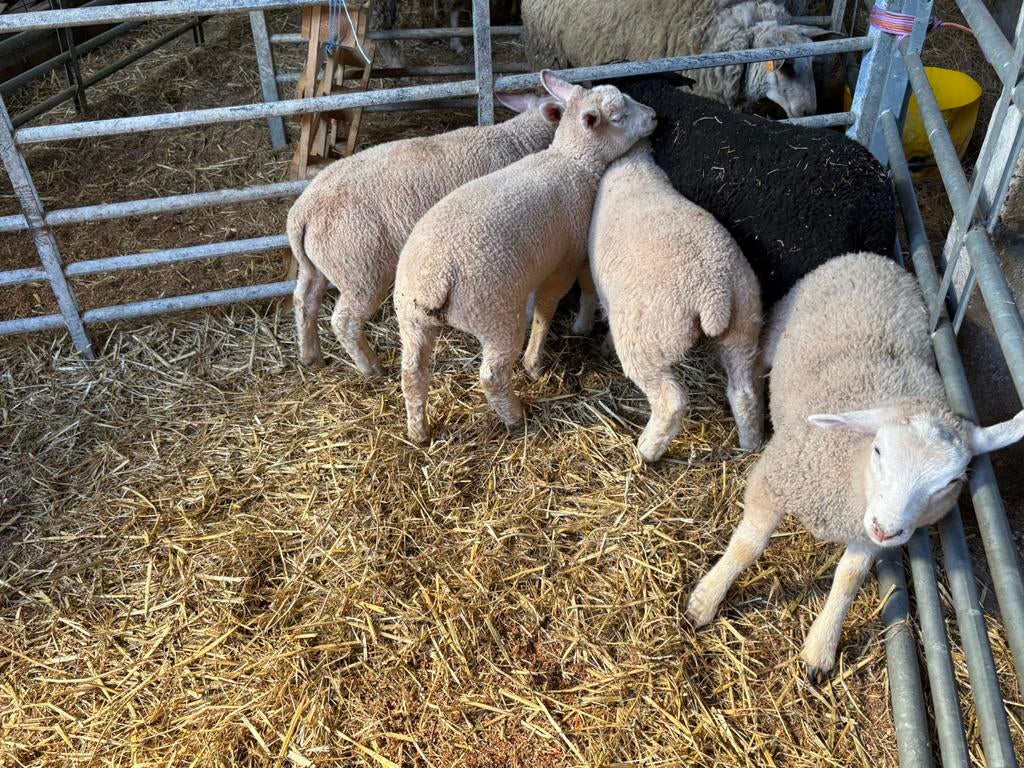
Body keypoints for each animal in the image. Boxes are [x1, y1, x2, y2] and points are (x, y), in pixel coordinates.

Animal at [287, 92, 561, 374]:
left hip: (315, 267)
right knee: (344, 322)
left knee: (304, 301)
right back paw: (371, 367)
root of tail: (302, 213)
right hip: (360, 273)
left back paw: (311, 356)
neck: (517, 141)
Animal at [394, 72, 657, 444]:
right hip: (495, 316)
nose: (654, 116)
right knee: (492, 376)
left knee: (411, 373)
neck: (572, 161)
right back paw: (515, 416)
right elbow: (549, 306)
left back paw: (418, 431)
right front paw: (535, 362)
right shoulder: (566, 260)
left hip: (410, 317)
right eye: (619, 116)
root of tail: (435, 278)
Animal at [587, 140, 764, 462]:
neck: (634, 162)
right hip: (744, 323)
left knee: (671, 402)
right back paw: (749, 443)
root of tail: (712, 295)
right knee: (744, 391)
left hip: (648, 341)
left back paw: (646, 451)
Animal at [685, 252, 1024, 682]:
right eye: (879, 450)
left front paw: (821, 648)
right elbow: (748, 546)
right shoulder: (775, 480)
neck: (852, 475)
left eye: (951, 482)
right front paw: (706, 599)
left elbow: (849, 579)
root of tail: (871, 258)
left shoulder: (865, 536)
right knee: (755, 363)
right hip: (778, 327)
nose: (887, 528)